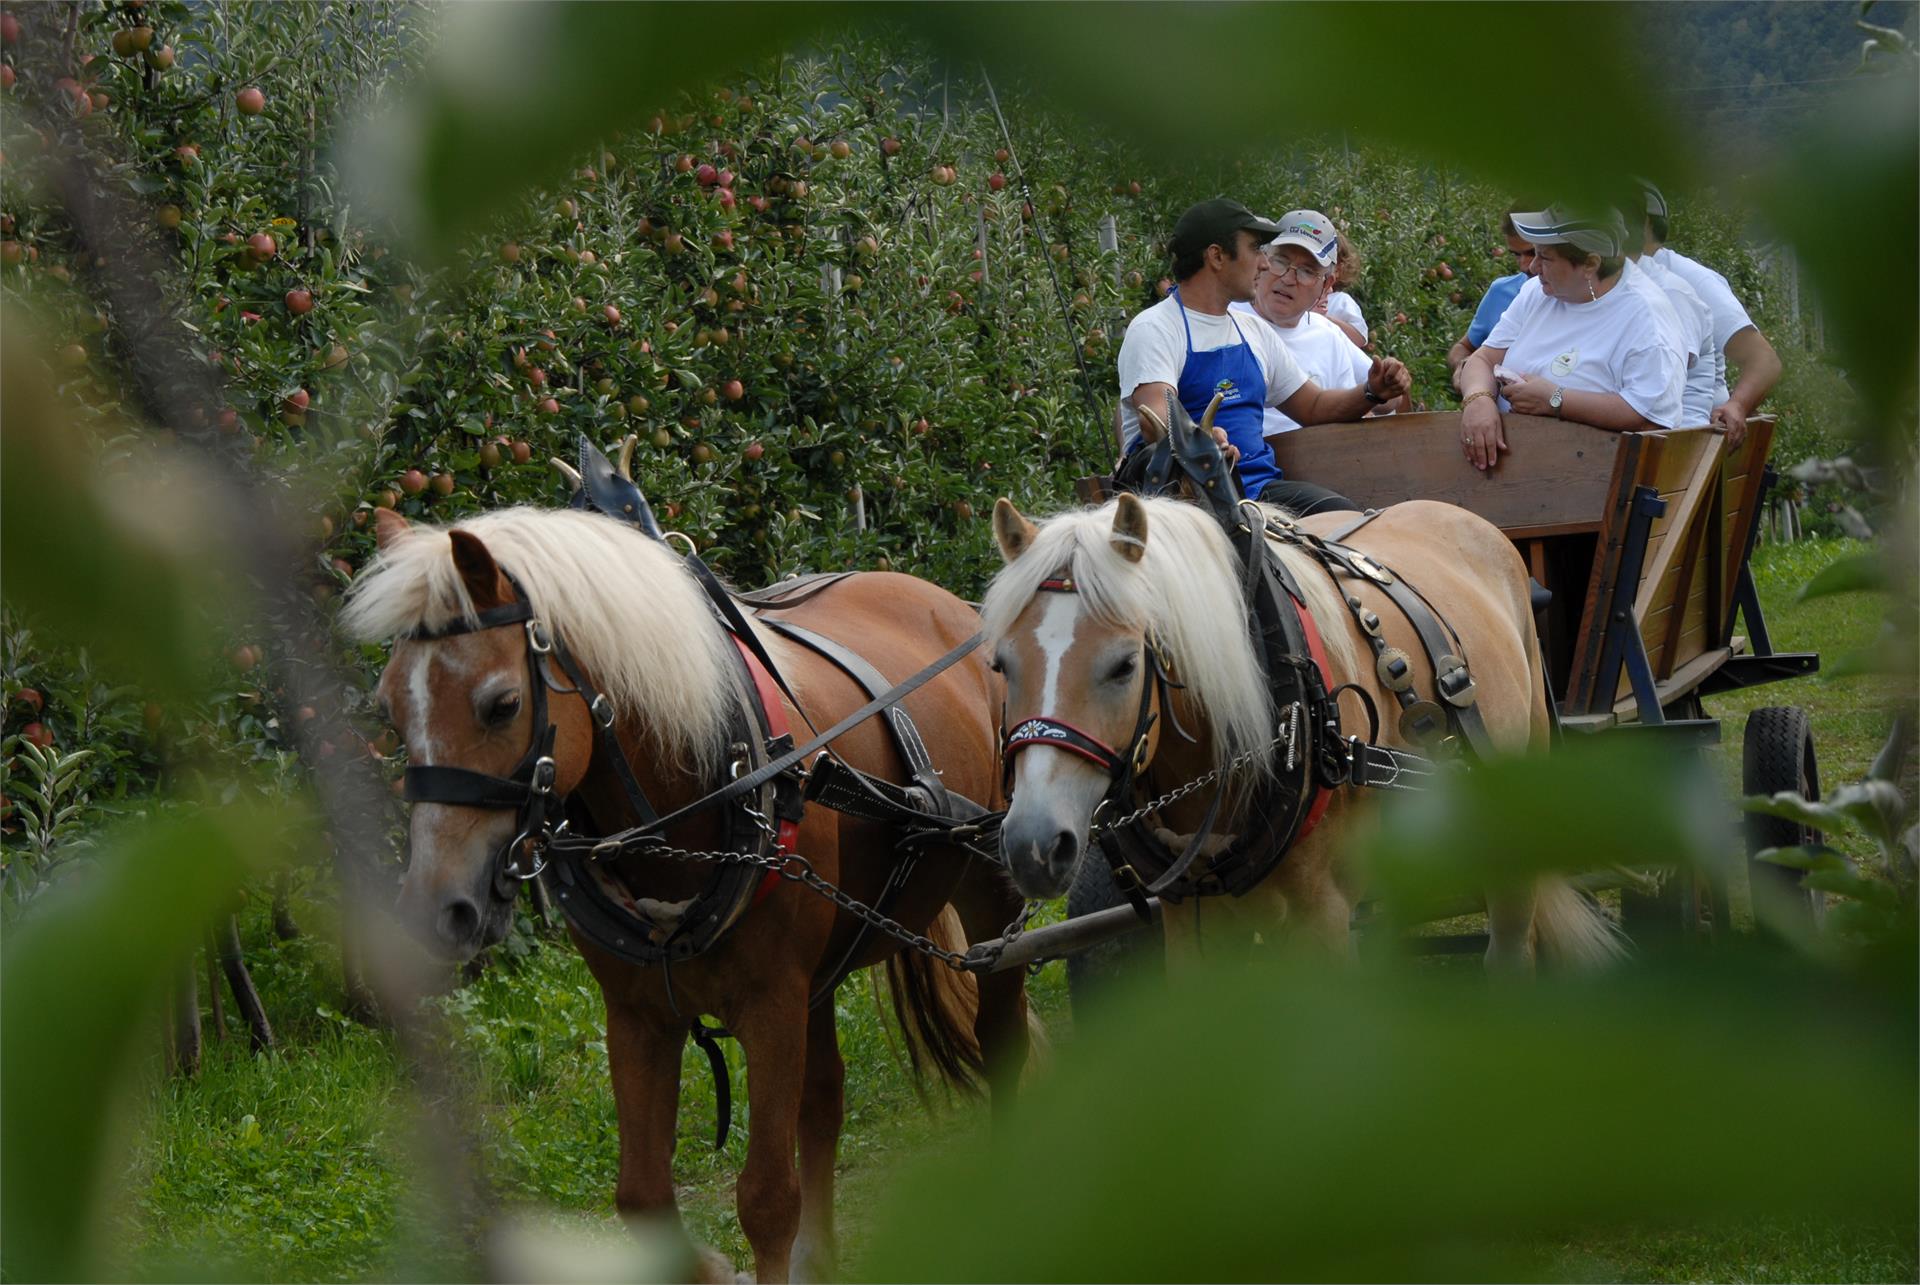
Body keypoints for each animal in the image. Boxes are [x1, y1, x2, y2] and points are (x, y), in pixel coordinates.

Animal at [345, 507, 1036, 1275]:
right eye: (389, 711)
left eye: (501, 705)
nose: (437, 910)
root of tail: (948, 603)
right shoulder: (640, 1014)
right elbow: (644, 1197)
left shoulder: (771, 1005)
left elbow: (767, 1199)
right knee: (824, 1098)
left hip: (991, 888)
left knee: (999, 1039)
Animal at [983, 495, 1628, 968]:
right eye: (1001, 665)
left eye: (1123, 666)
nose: (1034, 845)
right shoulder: (1191, 920)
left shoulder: (1323, 915)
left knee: (1510, 948)